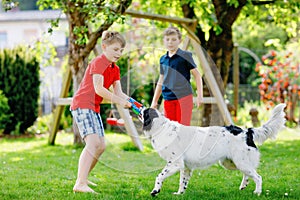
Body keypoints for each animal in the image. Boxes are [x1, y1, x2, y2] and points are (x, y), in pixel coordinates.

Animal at [140, 104, 286, 196]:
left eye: (144, 111)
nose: (139, 107)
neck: (161, 127)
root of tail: (247, 131)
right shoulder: (185, 167)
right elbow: (183, 182)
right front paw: (179, 194)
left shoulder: (175, 163)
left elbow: (159, 176)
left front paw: (155, 191)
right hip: (232, 163)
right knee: (249, 174)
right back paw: (243, 186)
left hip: (240, 162)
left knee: (258, 177)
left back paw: (257, 192)